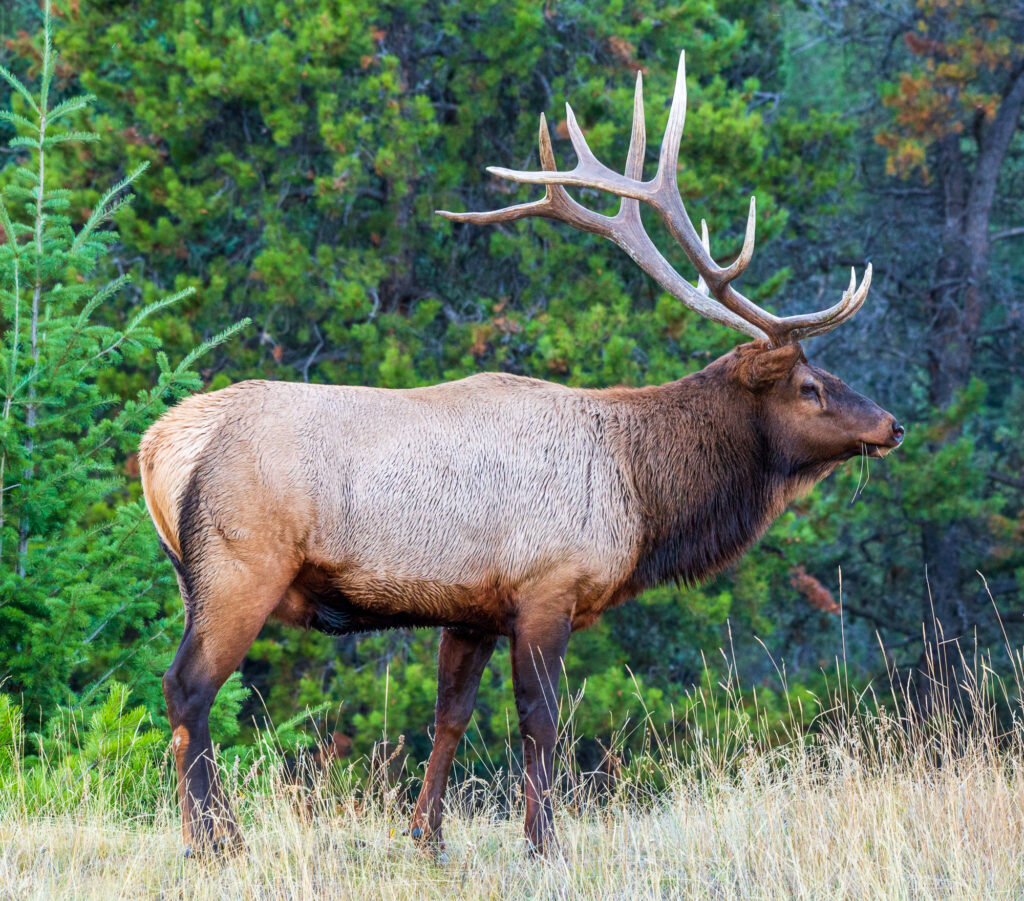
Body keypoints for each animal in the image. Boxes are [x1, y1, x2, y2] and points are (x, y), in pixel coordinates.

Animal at [140, 50, 901, 860]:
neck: (643, 493)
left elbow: (450, 716)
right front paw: (544, 841)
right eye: (810, 386)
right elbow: (540, 718)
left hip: (194, 576)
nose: (891, 426)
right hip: (241, 564)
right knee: (188, 687)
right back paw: (212, 839)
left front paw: (427, 835)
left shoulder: (472, 608)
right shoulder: (547, 585)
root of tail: (158, 446)